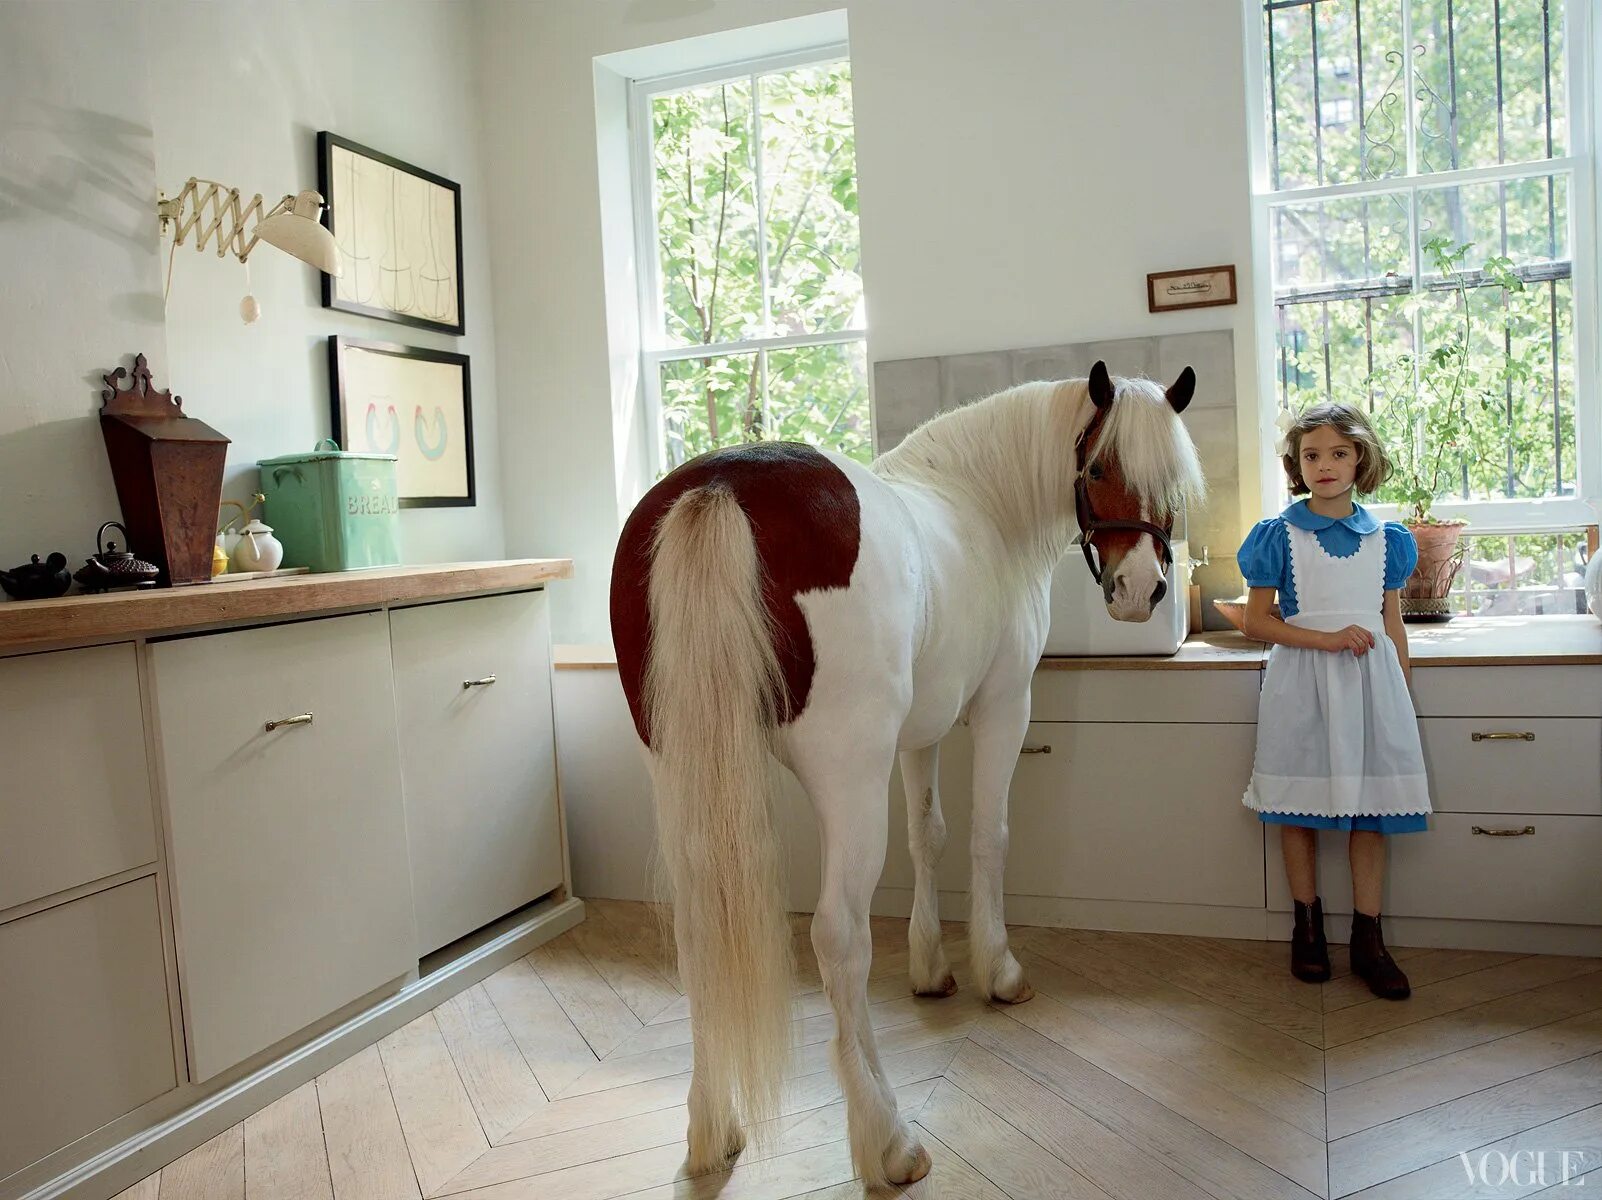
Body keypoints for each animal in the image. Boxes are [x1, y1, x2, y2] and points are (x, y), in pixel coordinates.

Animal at [608, 360, 1204, 1185]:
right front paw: (996, 969)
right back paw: (886, 1136)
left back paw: (711, 1128)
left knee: (699, 932)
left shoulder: (921, 733)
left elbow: (932, 836)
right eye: (1097, 470)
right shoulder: (1002, 708)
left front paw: (930, 966)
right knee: (838, 937)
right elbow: (987, 836)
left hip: (680, 774)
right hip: (848, 778)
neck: (981, 501)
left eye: (1170, 477)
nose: (1141, 590)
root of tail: (721, 482)